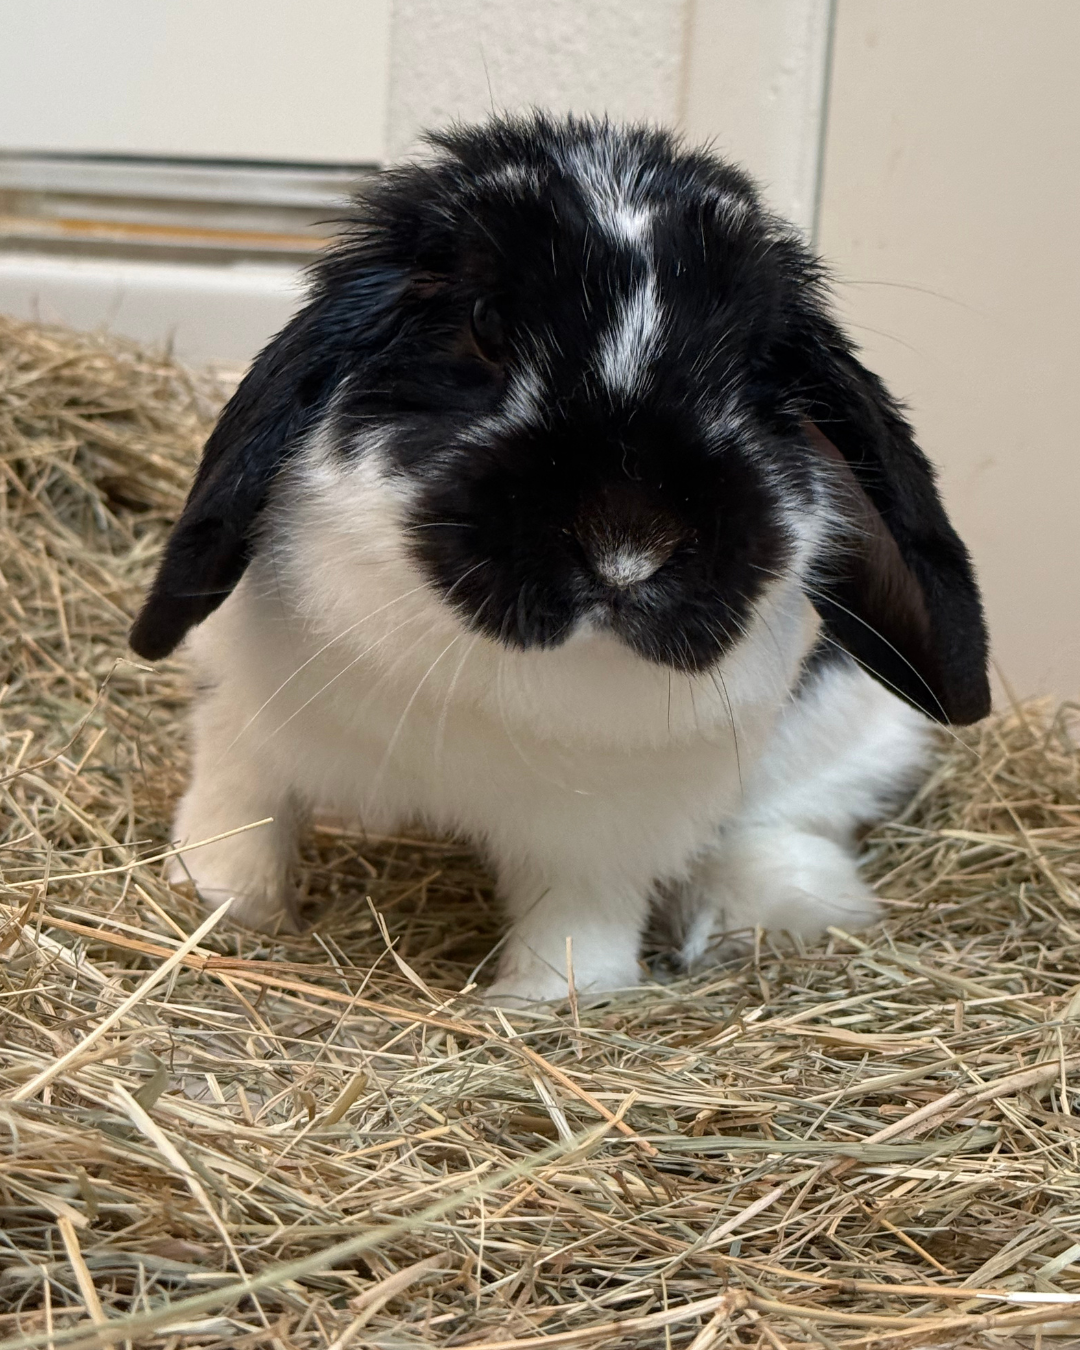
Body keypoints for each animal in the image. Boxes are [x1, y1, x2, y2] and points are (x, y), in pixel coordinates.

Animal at [130, 114, 989, 1005]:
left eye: (757, 370)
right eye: (483, 326)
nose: (628, 549)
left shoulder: (607, 833)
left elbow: (580, 922)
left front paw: (550, 1002)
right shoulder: (242, 718)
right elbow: (239, 813)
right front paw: (216, 905)